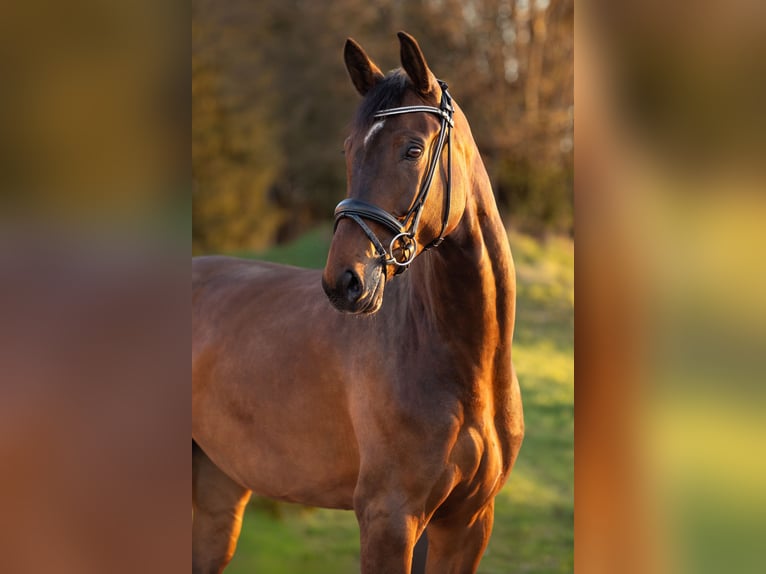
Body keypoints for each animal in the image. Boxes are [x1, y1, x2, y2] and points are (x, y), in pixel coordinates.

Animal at [192, 31, 524, 573]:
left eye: (412, 149)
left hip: (218, 487)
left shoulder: (468, 523)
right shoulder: (390, 520)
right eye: (349, 149)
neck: (465, 367)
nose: (344, 282)